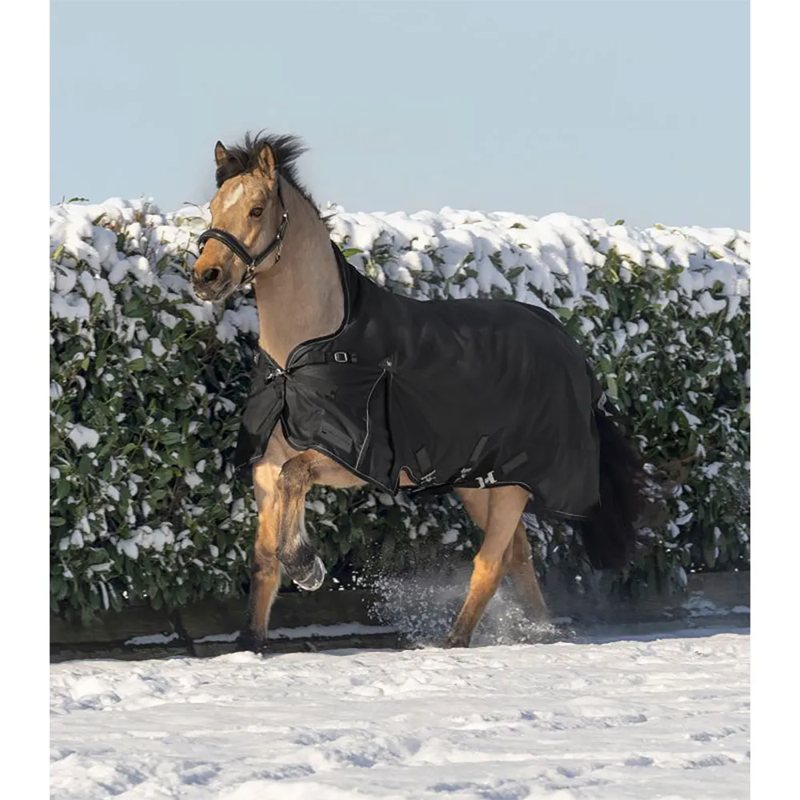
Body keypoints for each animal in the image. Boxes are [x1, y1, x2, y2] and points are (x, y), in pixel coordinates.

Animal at [192, 132, 648, 649]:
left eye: (256, 209)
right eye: (213, 207)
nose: (206, 276)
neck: (303, 356)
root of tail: (569, 347)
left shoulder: (350, 460)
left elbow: (295, 479)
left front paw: (308, 568)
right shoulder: (265, 465)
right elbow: (264, 558)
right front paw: (250, 643)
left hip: (514, 483)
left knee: (491, 563)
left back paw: (455, 642)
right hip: (478, 482)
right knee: (518, 555)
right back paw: (540, 631)